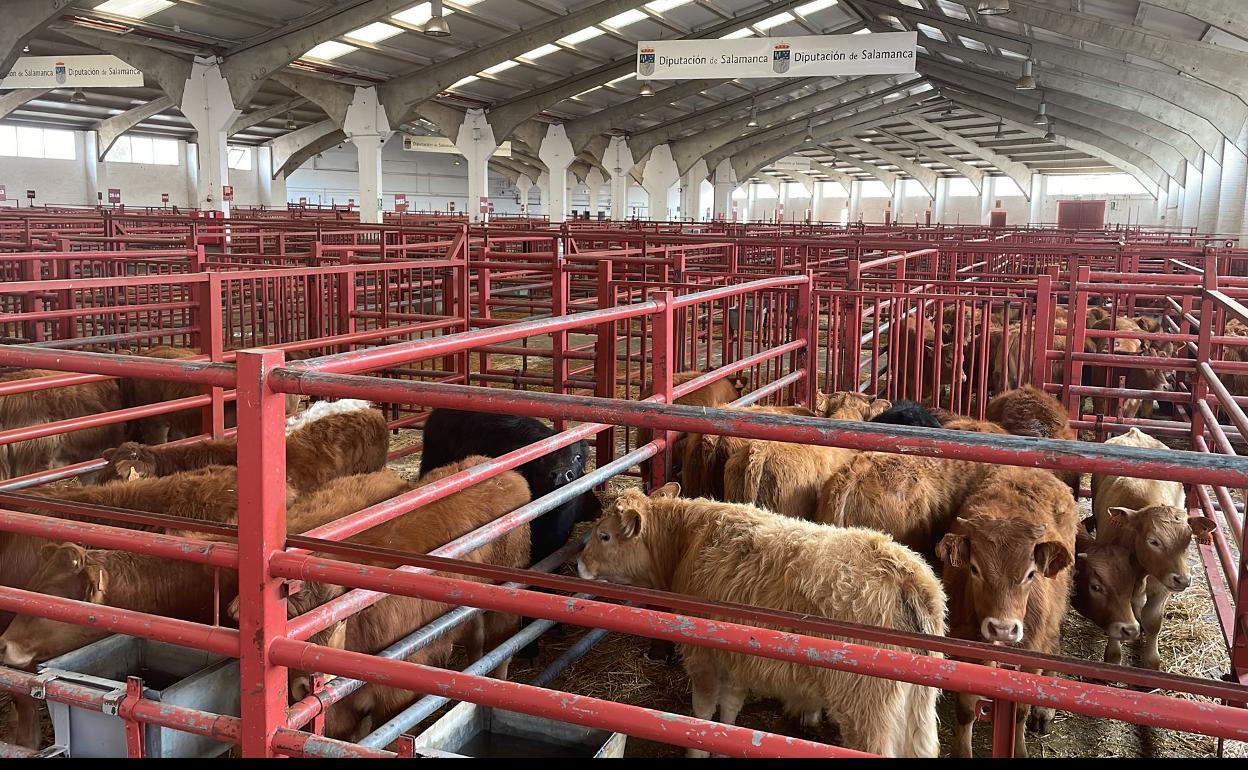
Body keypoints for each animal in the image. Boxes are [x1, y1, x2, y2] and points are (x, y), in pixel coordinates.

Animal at [579, 486, 938, 758]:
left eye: (604, 535)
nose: (580, 564)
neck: (686, 543)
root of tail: (903, 573)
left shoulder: (702, 655)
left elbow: (703, 711)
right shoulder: (738, 659)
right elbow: (729, 709)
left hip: (866, 713)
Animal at [938, 461, 1078, 758]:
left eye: (1030, 573)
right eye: (974, 568)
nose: (1002, 628)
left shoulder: (1031, 654)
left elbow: (1021, 710)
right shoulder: (964, 653)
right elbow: (966, 709)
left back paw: (1044, 711)